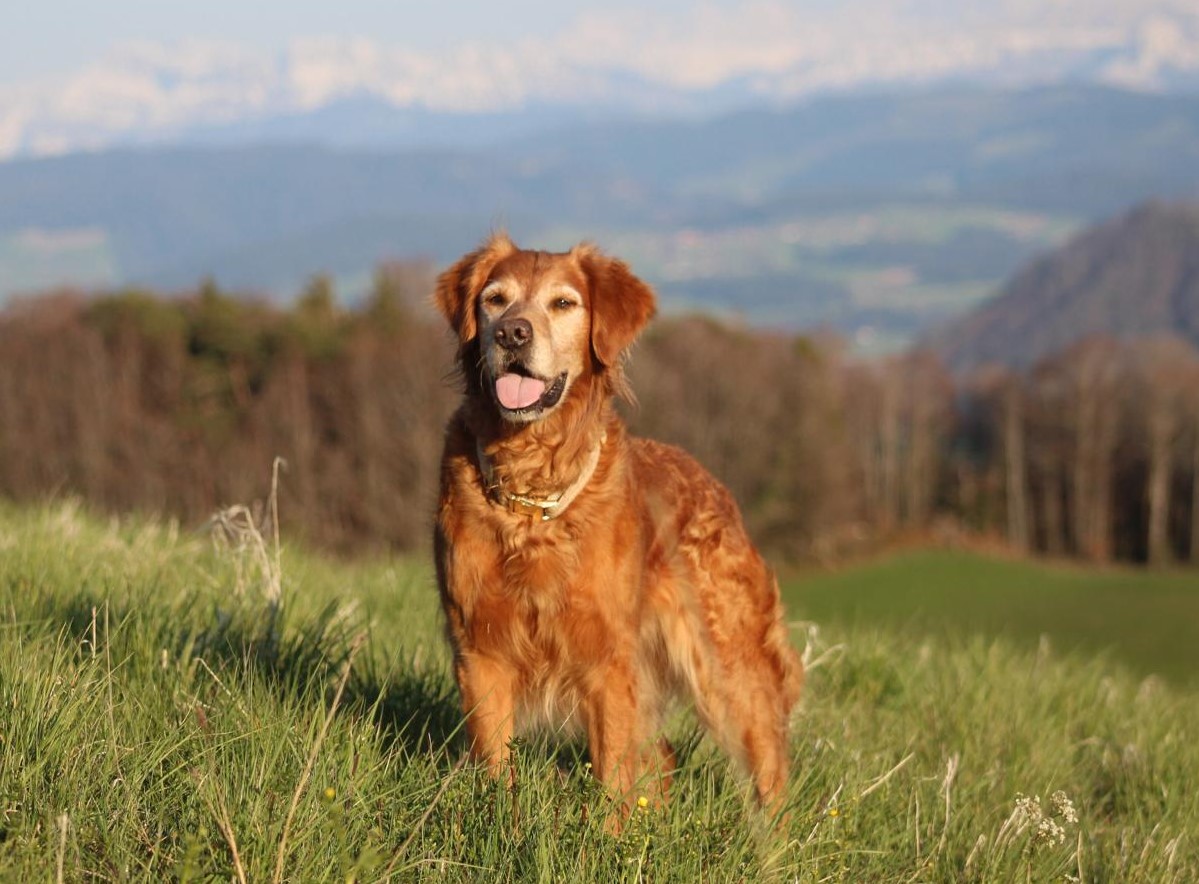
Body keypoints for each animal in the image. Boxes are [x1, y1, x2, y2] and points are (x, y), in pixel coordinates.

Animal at [434, 231, 805, 815]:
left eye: (564, 303)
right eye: (495, 299)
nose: (512, 332)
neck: (534, 496)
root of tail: (714, 483)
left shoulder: (608, 659)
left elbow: (612, 774)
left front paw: (607, 835)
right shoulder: (479, 648)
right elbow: (495, 762)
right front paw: (497, 820)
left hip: (730, 665)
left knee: (769, 770)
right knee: (664, 755)